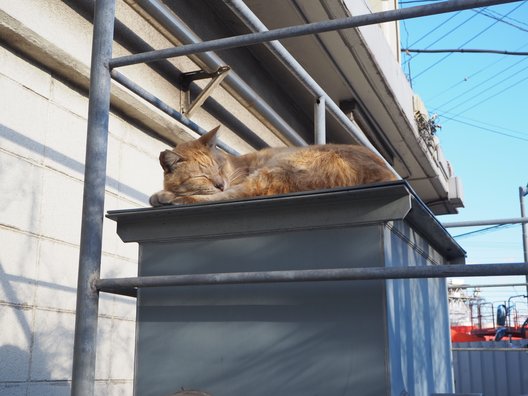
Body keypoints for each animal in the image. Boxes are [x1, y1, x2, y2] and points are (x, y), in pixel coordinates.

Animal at [148, 127, 396, 207]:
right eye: (201, 176)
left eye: (218, 169)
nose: (219, 184)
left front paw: (166, 194)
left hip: (273, 170)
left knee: (236, 195)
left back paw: (167, 197)